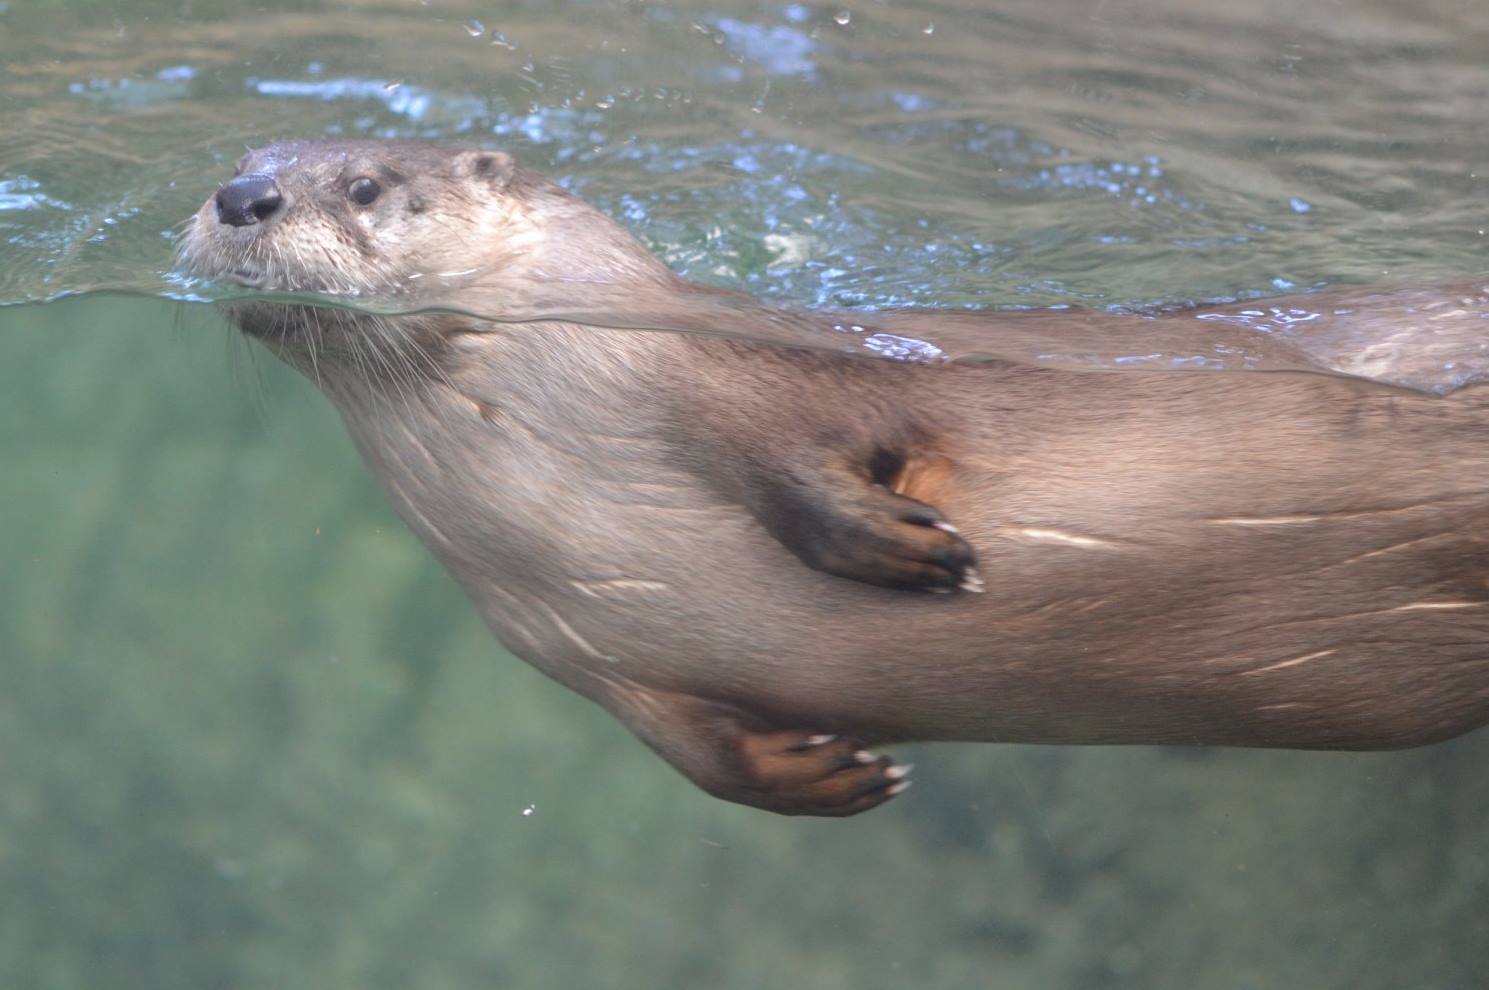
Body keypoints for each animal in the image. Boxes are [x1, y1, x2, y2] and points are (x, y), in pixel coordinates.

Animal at [180, 140, 1489, 817]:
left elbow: (815, 447)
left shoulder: (736, 382)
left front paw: (906, 546)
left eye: (361, 184)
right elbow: (701, 756)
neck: (537, 474)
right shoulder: (582, 645)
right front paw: (829, 772)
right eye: (244, 160)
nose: (242, 193)